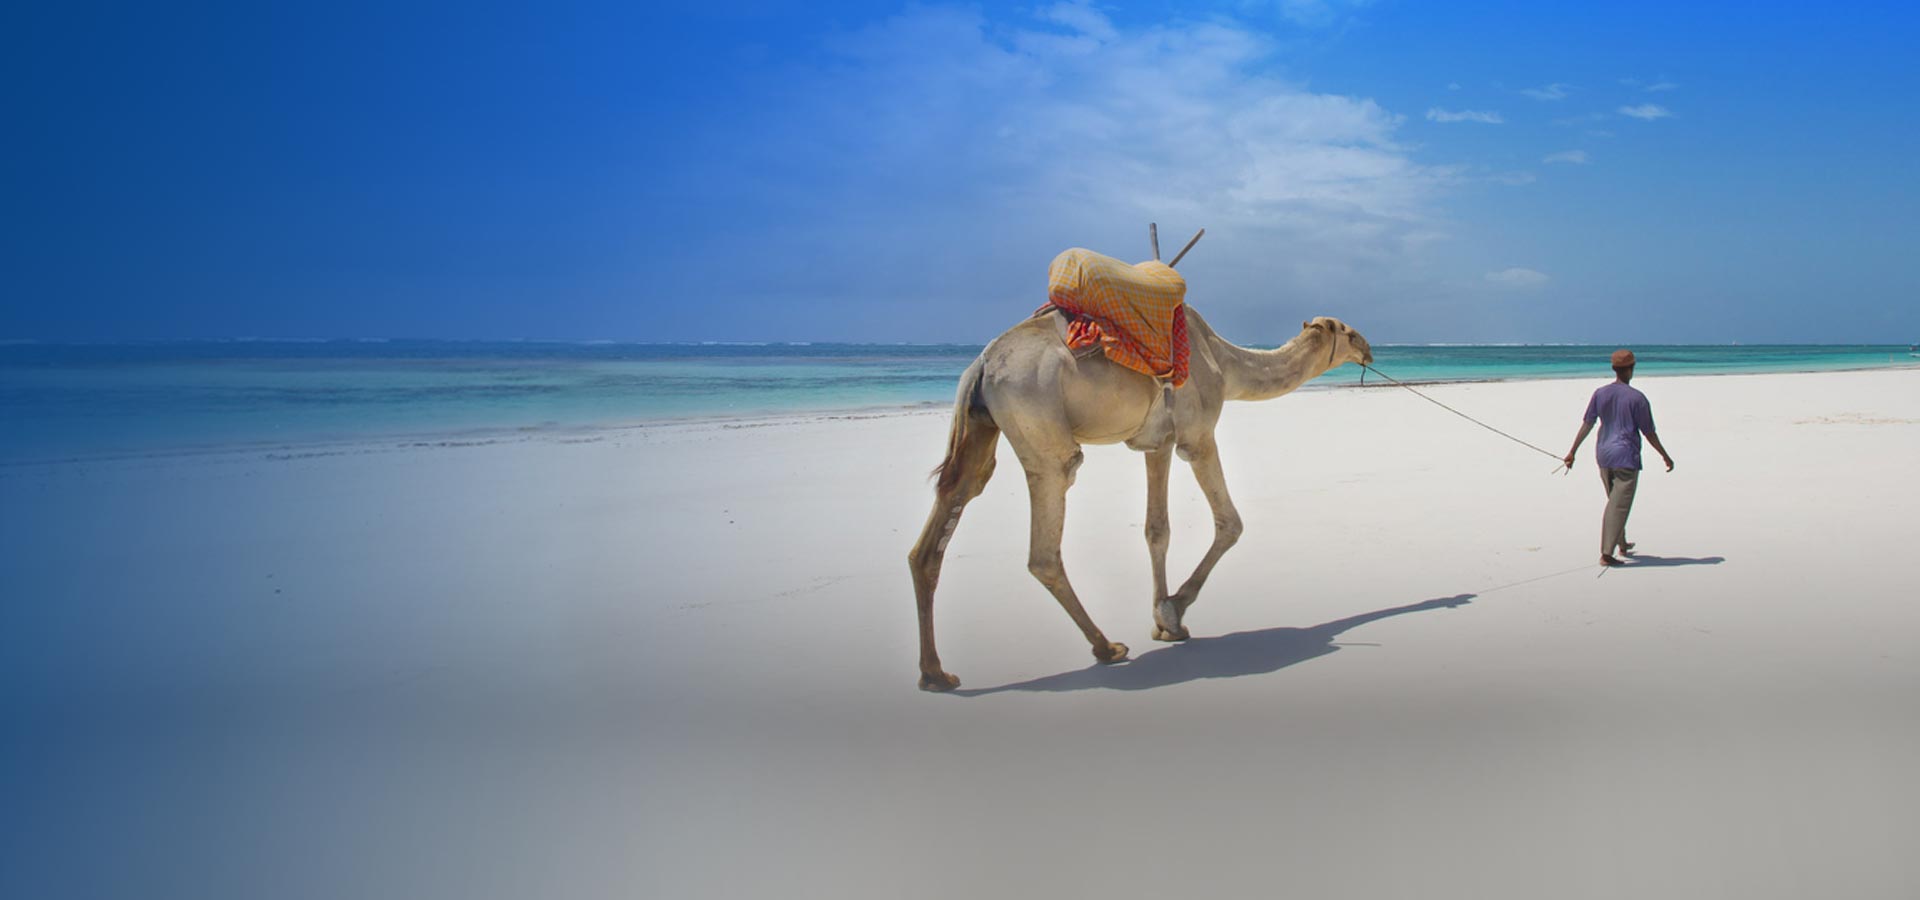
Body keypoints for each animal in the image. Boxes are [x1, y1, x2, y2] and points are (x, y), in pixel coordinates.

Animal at [908, 306, 1373, 691]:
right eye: (1349, 331)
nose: (1369, 348)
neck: (1224, 363)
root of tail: (981, 365)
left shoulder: (1158, 443)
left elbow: (1156, 530)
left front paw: (1166, 624)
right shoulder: (1196, 436)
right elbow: (1231, 523)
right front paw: (1172, 611)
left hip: (980, 426)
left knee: (949, 510)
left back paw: (936, 675)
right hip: (1038, 422)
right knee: (1046, 539)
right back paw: (1106, 647)